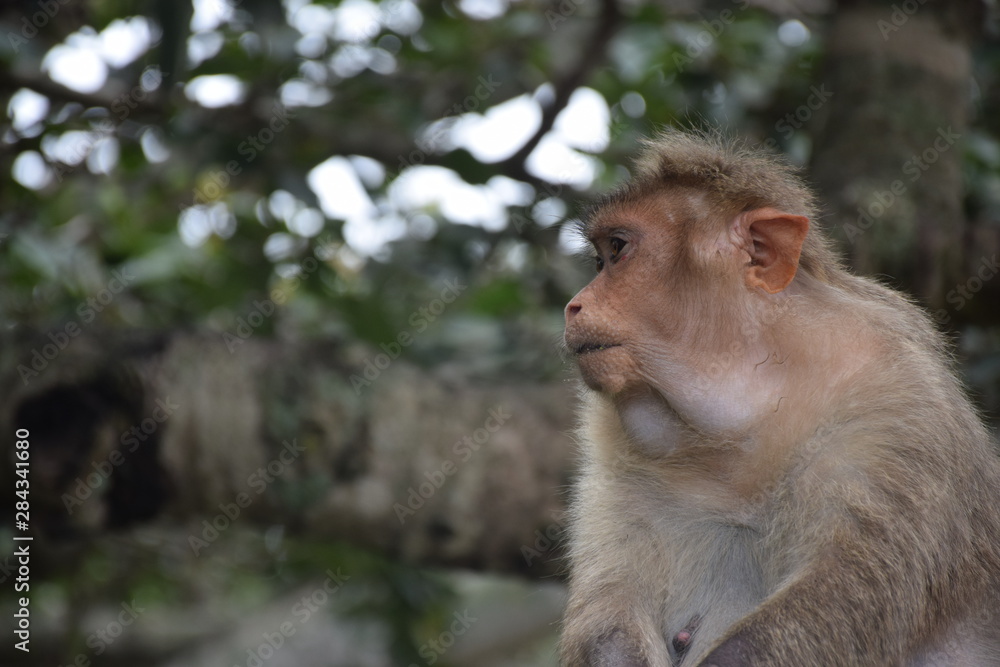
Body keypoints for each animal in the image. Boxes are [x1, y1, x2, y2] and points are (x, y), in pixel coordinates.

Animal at [560, 130, 1000, 666]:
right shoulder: (614, 455)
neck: (745, 429)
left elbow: (840, 594)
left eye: (618, 250)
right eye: (599, 259)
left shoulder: (896, 412)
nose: (572, 305)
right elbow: (608, 616)